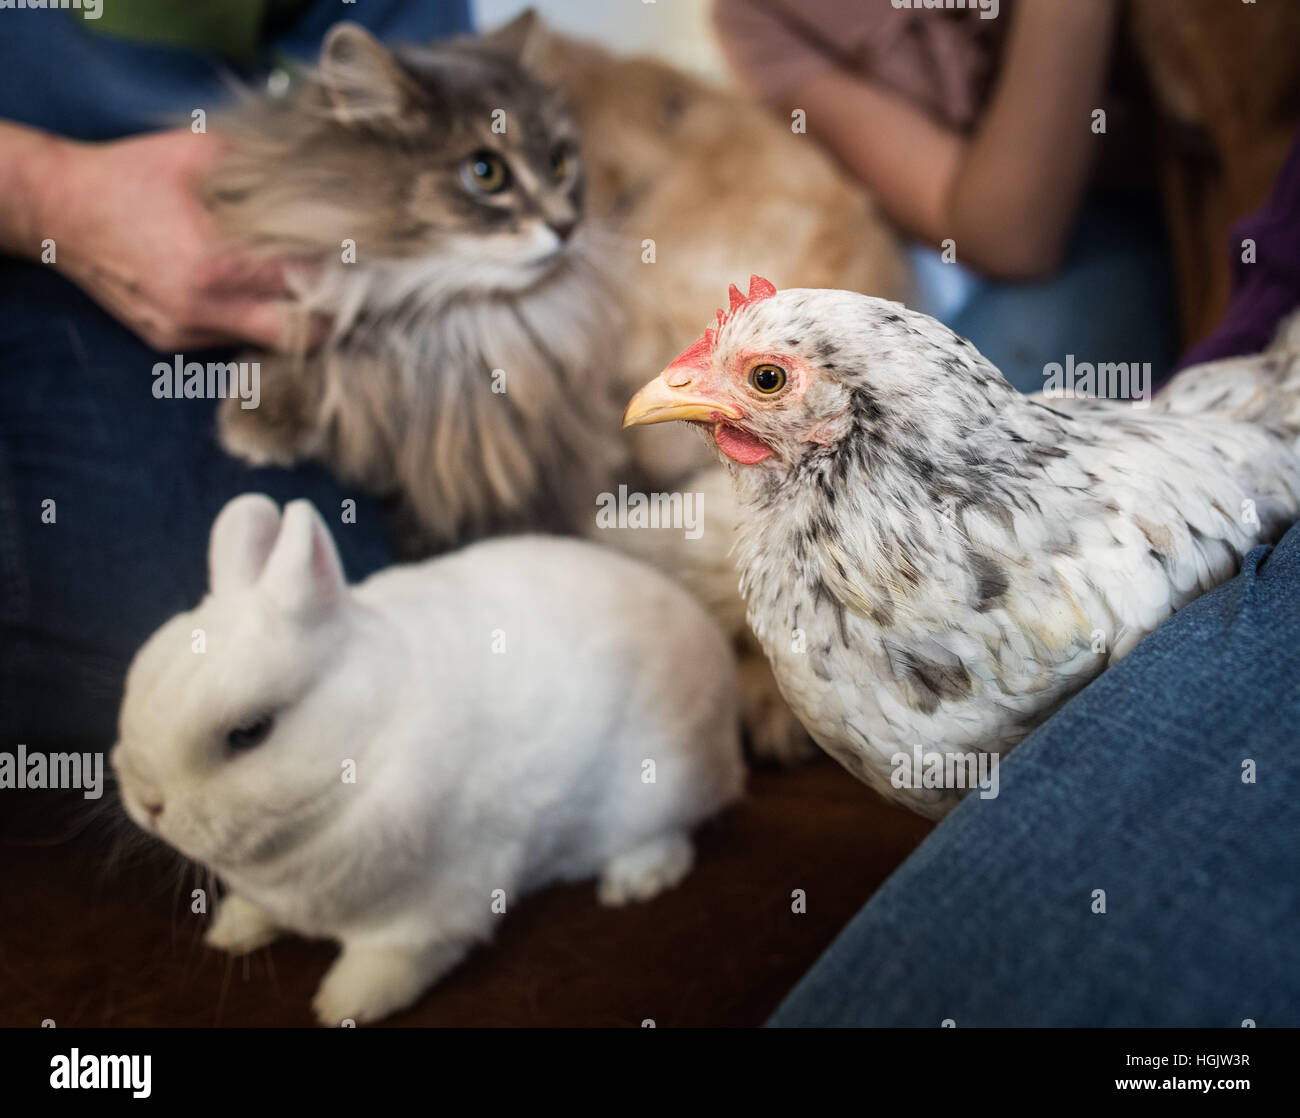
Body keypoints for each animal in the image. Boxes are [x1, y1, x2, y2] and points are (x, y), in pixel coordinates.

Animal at [111, 493, 744, 1025]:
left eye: (249, 733)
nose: (148, 805)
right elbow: (258, 912)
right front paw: (232, 931)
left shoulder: (432, 911)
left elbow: (392, 960)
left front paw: (341, 1005)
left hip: (657, 792)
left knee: (672, 836)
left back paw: (633, 881)